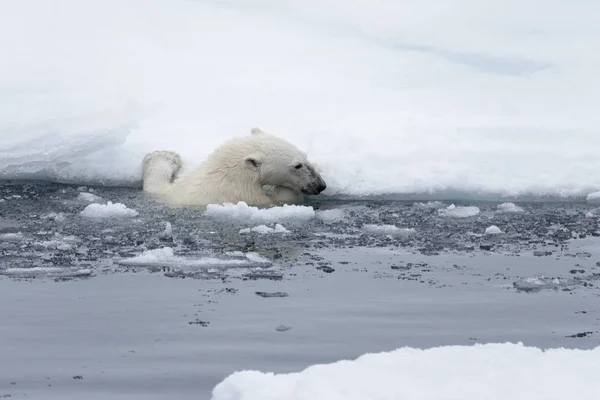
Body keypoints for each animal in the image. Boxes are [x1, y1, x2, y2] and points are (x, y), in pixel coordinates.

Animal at [140, 128, 326, 208]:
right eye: (297, 165)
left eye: (305, 156)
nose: (321, 185)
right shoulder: (245, 195)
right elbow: (285, 199)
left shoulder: (175, 190)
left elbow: (155, 187)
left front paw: (166, 155)